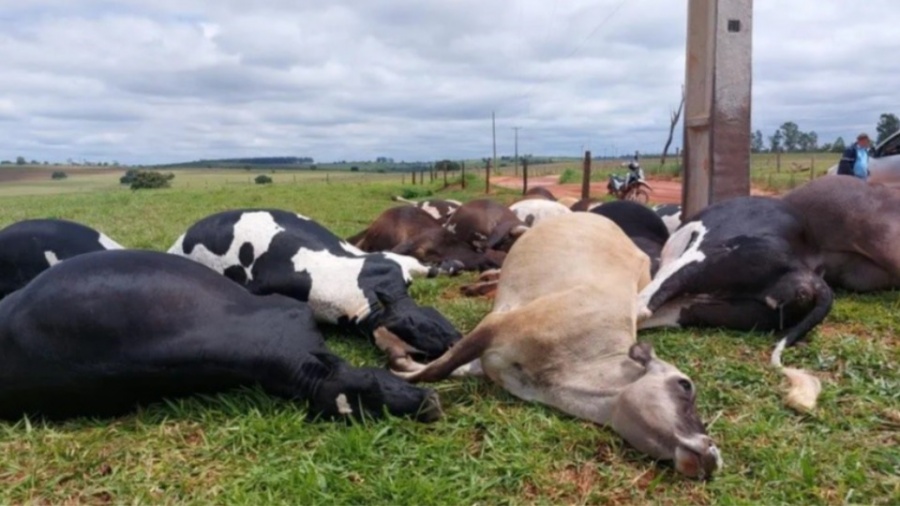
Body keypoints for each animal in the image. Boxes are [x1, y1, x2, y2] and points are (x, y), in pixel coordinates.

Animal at [168, 209, 462, 363]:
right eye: (411, 327)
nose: (455, 341)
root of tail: (179, 239)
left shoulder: (388, 261)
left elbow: (424, 266)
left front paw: (451, 265)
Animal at [393, 213, 722, 479]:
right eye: (685, 386)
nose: (714, 453)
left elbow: (450, 367)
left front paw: (404, 364)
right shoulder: (495, 325)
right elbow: (438, 369)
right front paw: (401, 373)